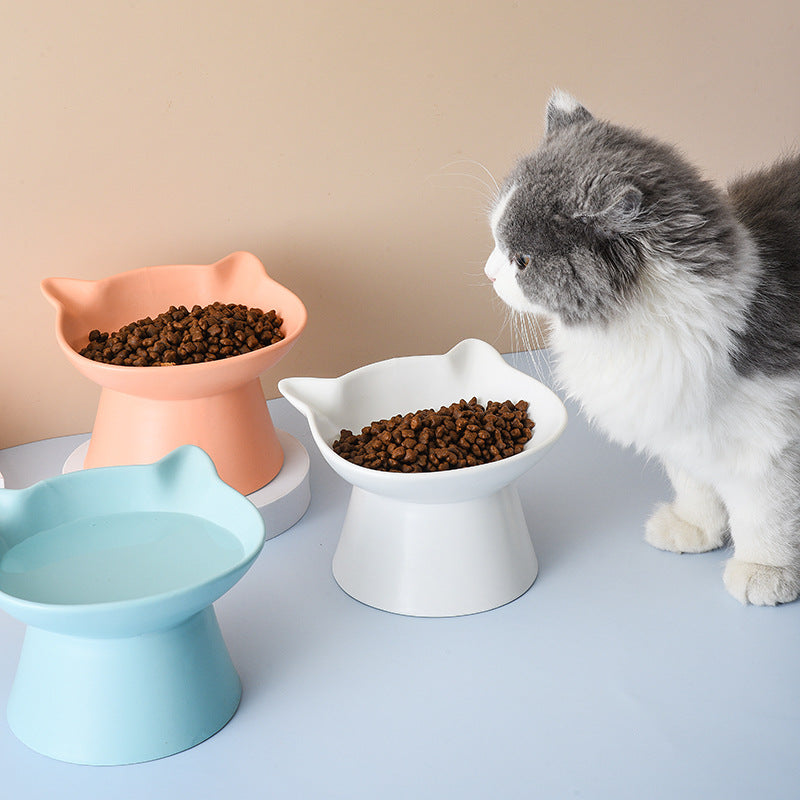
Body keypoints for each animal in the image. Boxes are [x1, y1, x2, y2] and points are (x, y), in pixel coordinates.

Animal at [484, 90, 800, 608]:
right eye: (494, 237)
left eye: (522, 261)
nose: (489, 272)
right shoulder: (680, 424)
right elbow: (696, 487)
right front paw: (695, 531)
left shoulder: (770, 442)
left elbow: (766, 516)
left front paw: (765, 572)